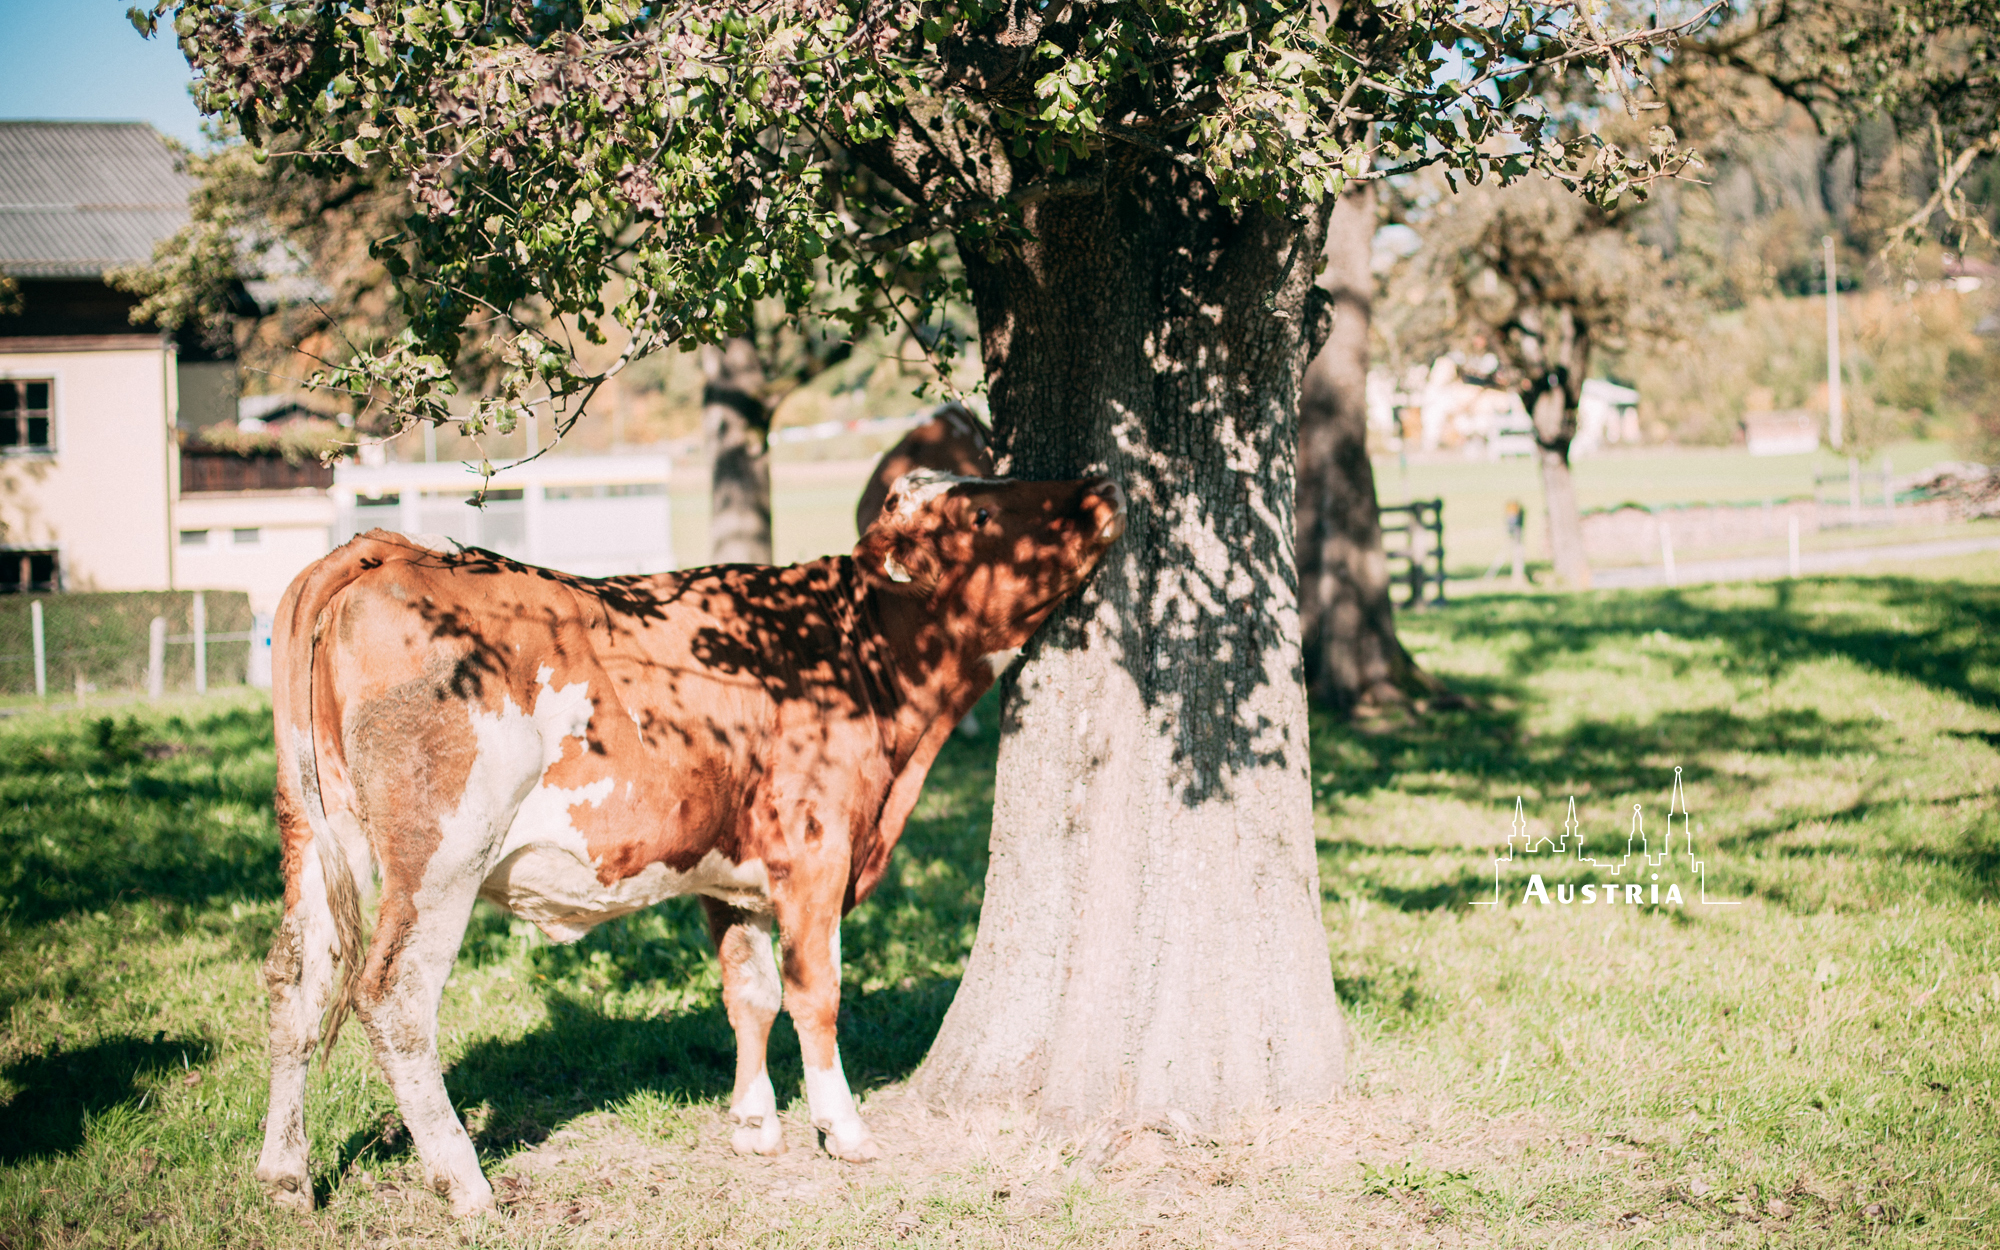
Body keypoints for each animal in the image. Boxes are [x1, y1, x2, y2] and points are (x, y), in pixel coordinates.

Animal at [252, 466, 1128, 1208]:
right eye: (981, 515)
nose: (1099, 483)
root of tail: (392, 550)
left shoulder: (728, 872)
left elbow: (751, 992)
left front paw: (754, 1123)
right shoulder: (817, 854)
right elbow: (816, 992)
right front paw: (841, 1127)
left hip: (312, 836)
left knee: (296, 981)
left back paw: (286, 1176)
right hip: (440, 855)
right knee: (394, 996)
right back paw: (463, 1181)